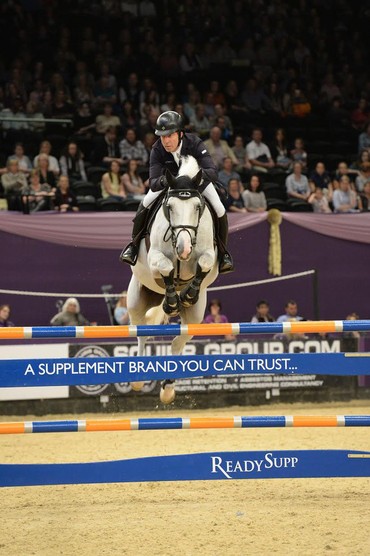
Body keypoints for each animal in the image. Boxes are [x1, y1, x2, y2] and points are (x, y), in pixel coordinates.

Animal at [128, 156, 220, 404]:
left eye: (198, 207)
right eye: (169, 208)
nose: (184, 248)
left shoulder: (209, 255)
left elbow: (204, 264)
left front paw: (187, 294)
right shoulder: (154, 258)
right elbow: (167, 267)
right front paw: (171, 303)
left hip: (196, 315)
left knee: (179, 341)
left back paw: (168, 389)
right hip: (136, 300)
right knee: (141, 332)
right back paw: (138, 379)